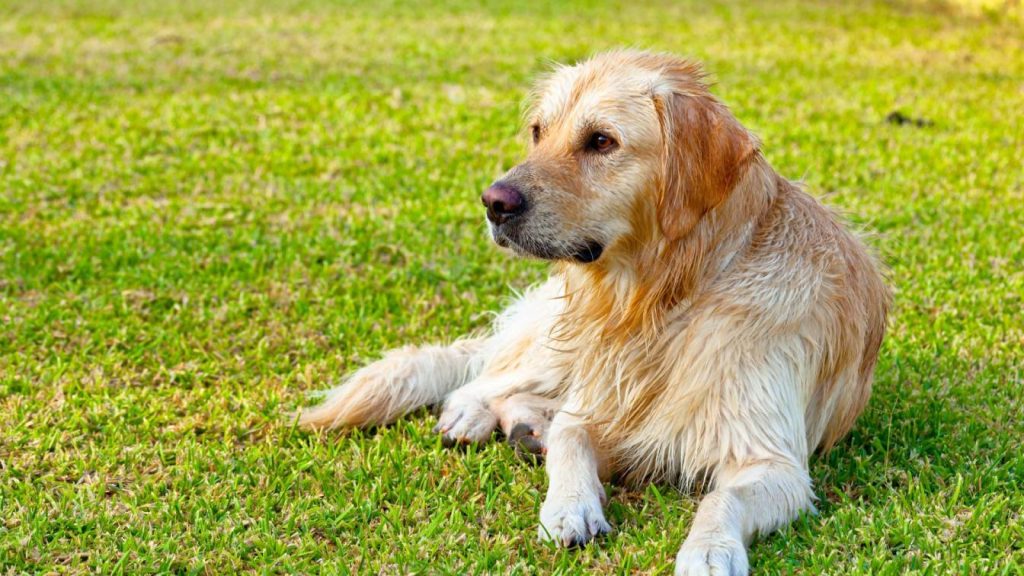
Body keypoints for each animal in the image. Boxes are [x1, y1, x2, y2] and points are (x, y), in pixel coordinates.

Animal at [296, 50, 888, 573]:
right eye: (539, 132)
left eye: (601, 141)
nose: (493, 203)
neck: (663, 300)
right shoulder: (597, 404)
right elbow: (570, 439)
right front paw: (568, 507)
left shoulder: (774, 461)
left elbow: (722, 498)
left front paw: (710, 551)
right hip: (556, 345)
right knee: (483, 377)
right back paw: (474, 416)